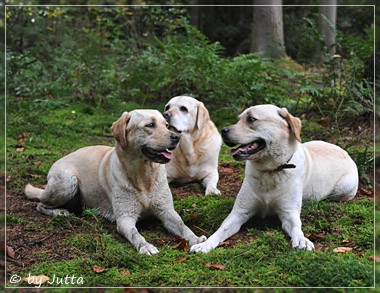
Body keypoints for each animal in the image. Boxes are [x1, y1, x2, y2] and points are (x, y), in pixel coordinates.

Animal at [25, 109, 206, 253]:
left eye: (166, 125)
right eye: (150, 125)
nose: (177, 137)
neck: (143, 176)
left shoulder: (167, 211)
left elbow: (183, 225)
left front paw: (196, 240)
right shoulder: (125, 218)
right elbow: (135, 234)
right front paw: (145, 246)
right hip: (67, 181)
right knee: (40, 204)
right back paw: (59, 212)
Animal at [191, 104, 358, 252]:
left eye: (251, 119)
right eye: (238, 119)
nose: (223, 130)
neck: (270, 170)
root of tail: (343, 150)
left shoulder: (289, 212)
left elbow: (296, 227)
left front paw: (301, 240)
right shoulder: (239, 212)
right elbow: (221, 229)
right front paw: (204, 244)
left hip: (344, 187)